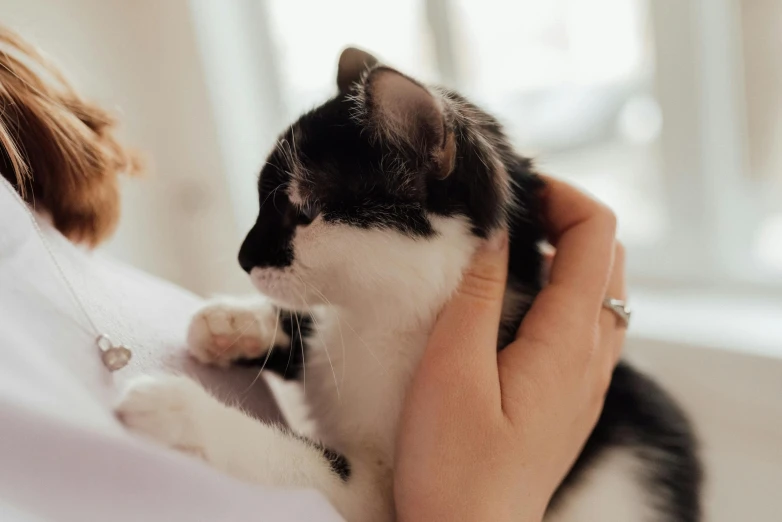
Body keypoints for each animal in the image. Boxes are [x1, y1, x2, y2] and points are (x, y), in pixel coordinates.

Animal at [118, 49, 704, 520]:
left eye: (297, 212)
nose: (243, 258)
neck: (384, 321)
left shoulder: (379, 495)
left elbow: (305, 463)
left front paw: (181, 411)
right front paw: (230, 322)